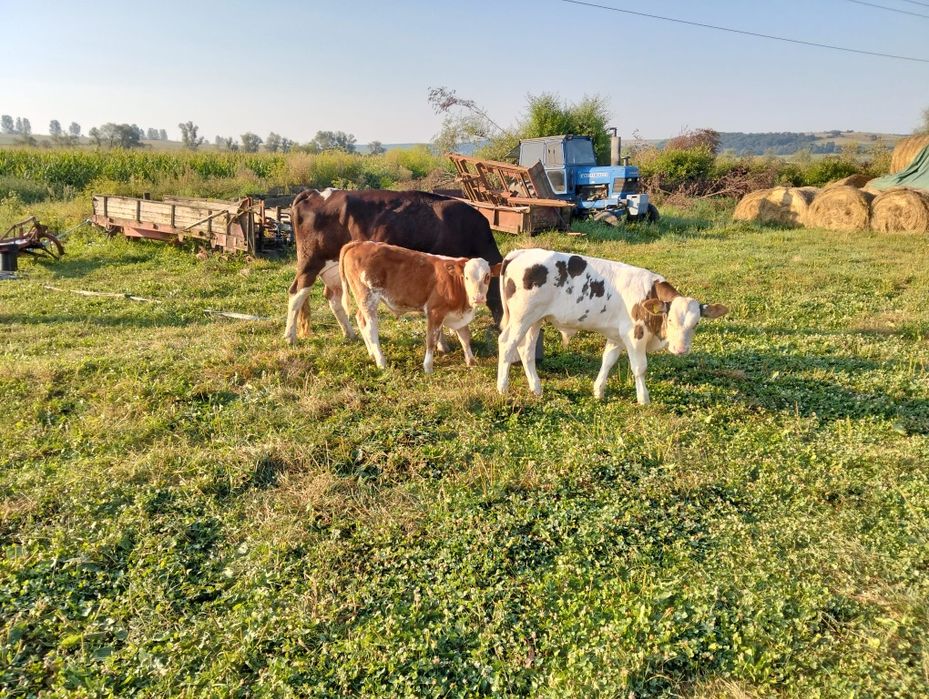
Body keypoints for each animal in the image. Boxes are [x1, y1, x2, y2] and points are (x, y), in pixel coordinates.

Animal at [284, 188, 503, 347]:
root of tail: (314, 193)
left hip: (333, 268)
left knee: (333, 298)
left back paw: (350, 333)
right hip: (311, 261)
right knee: (296, 292)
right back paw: (290, 337)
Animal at [338, 241, 498, 373]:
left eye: (487, 277)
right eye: (466, 277)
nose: (478, 298)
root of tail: (360, 243)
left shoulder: (459, 315)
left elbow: (464, 337)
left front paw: (471, 362)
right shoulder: (435, 311)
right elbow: (431, 339)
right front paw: (428, 367)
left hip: (363, 301)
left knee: (360, 319)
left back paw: (371, 353)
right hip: (367, 298)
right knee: (371, 329)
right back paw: (381, 362)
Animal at [495, 248, 728, 404]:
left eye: (696, 324)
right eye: (670, 319)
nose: (681, 349)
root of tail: (521, 252)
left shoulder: (617, 337)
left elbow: (607, 361)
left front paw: (598, 391)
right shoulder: (634, 335)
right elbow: (639, 368)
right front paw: (643, 399)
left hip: (535, 320)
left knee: (526, 350)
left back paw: (536, 388)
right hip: (521, 318)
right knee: (506, 344)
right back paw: (502, 388)